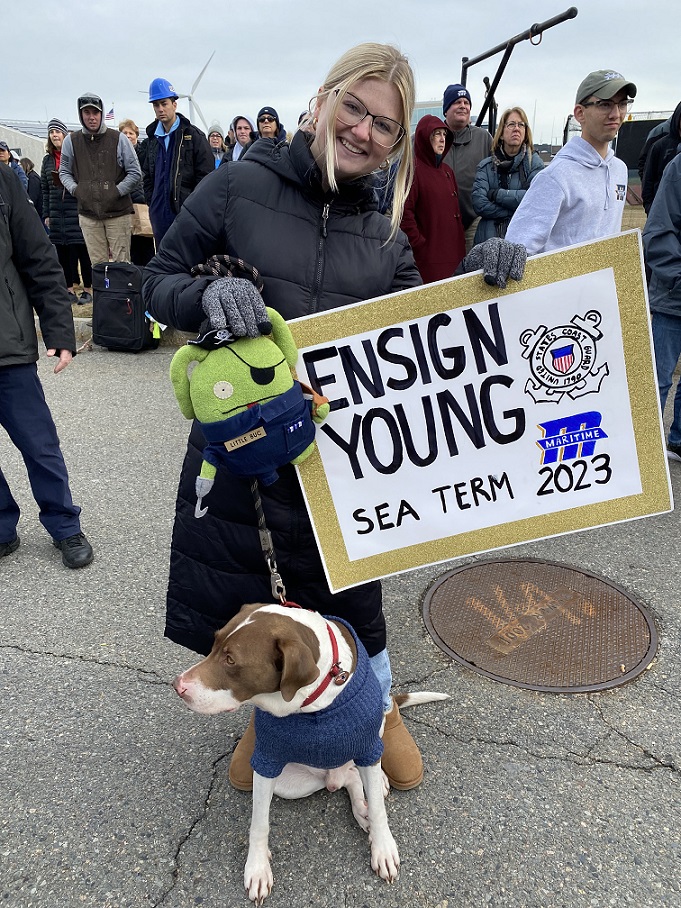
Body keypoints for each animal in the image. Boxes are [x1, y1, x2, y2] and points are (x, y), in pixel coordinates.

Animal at [171, 600, 446, 904]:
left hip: (376, 732)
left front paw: (383, 847)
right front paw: (257, 868)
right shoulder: (267, 760)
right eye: (214, 642)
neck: (312, 701)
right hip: (292, 783)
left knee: (360, 774)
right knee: (348, 778)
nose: (178, 685)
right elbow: (259, 823)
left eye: (231, 660)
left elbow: (378, 808)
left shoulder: (367, 744)